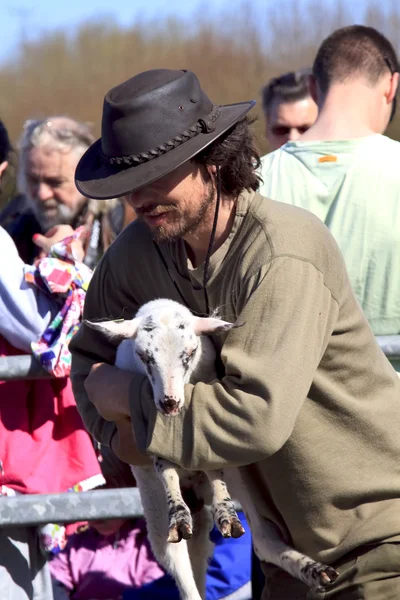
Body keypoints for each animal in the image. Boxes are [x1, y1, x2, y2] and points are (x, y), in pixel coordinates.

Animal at [86, 298, 338, 596]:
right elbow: (165, 469)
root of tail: (198, 496)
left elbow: (210, 462)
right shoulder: (144, 431)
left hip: (239, 478)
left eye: (191, 351)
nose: (170, 403)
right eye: (144, 356)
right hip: (154, 510)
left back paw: (315, 570)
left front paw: (226, 512)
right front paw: (179, 514)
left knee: (262, 540)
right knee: (180, 564)